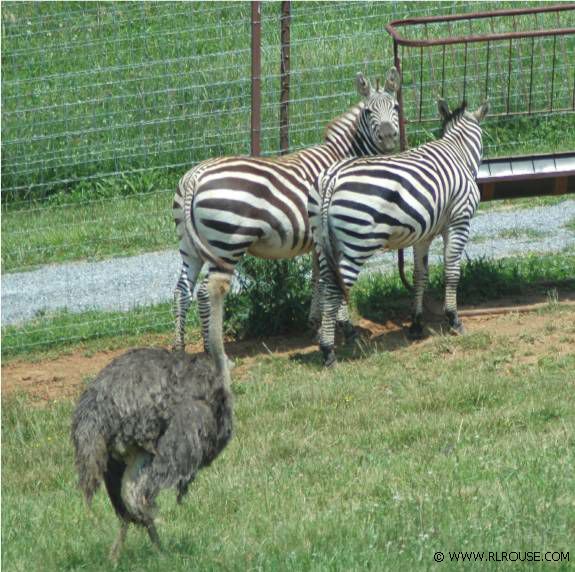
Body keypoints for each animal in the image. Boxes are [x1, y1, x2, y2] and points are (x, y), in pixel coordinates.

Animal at [173, 68, 402, 370]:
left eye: (396, 107)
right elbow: (333, 279)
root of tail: (194, 177)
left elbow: (319, 278)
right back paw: (214, 353)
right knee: (203, 293)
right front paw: (344, 329)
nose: (388, 137)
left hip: (189, 245)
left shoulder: (320, 240)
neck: (344, 154)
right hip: (225, 245)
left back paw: (179, 350)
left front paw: (316, 322)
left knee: (181, 292)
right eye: (367, 111)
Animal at [310, 98, 490, 366]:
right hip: (356, 245)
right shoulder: (459, 220)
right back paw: (328, 350)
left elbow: (419, 275)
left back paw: (334, 335)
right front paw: (454, 319)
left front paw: (416, 324)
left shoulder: (424, 233)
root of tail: (332, 178)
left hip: (324, 244)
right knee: (334, 289)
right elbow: (452, 271)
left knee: (325, 283)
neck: (457, 151)